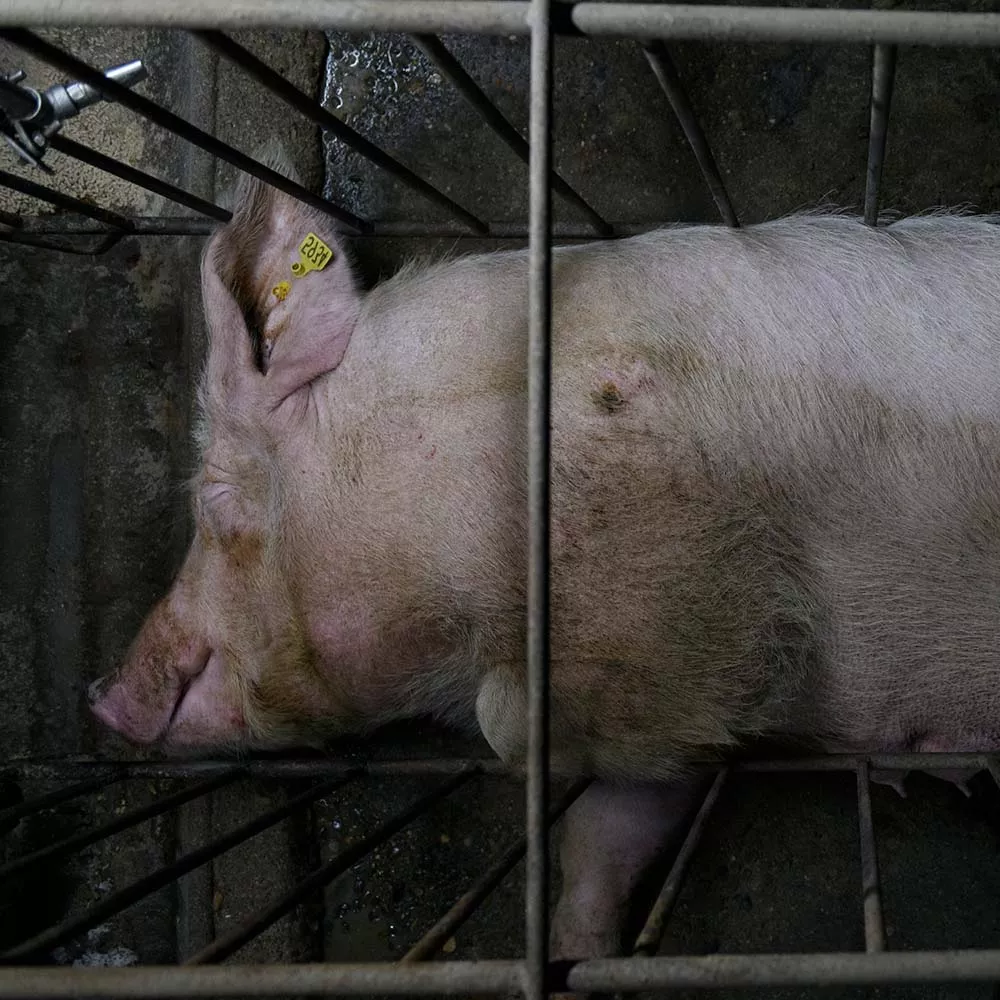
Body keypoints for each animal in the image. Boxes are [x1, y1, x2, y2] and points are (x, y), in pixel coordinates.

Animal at [88, 152, 1000, 964]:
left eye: (215, 500)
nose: (100, 697)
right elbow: (616, 820)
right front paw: (578, 954)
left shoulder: (671, 579)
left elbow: (514, 729)